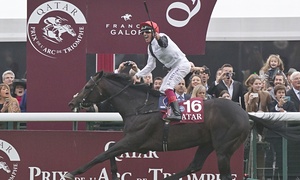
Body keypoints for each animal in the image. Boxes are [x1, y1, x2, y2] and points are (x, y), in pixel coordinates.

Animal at [64, 71, 300, 180]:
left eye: (88, 86)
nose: (72, 103)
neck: (139, 107)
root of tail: (244, 112)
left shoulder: (134, 140)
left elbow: (101, 154)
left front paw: (72, 172)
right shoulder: (132, 143)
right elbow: (109, 151)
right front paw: (114, 172)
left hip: (224, 148)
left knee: (222, 173)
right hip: (207, 142)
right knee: (194, 165)